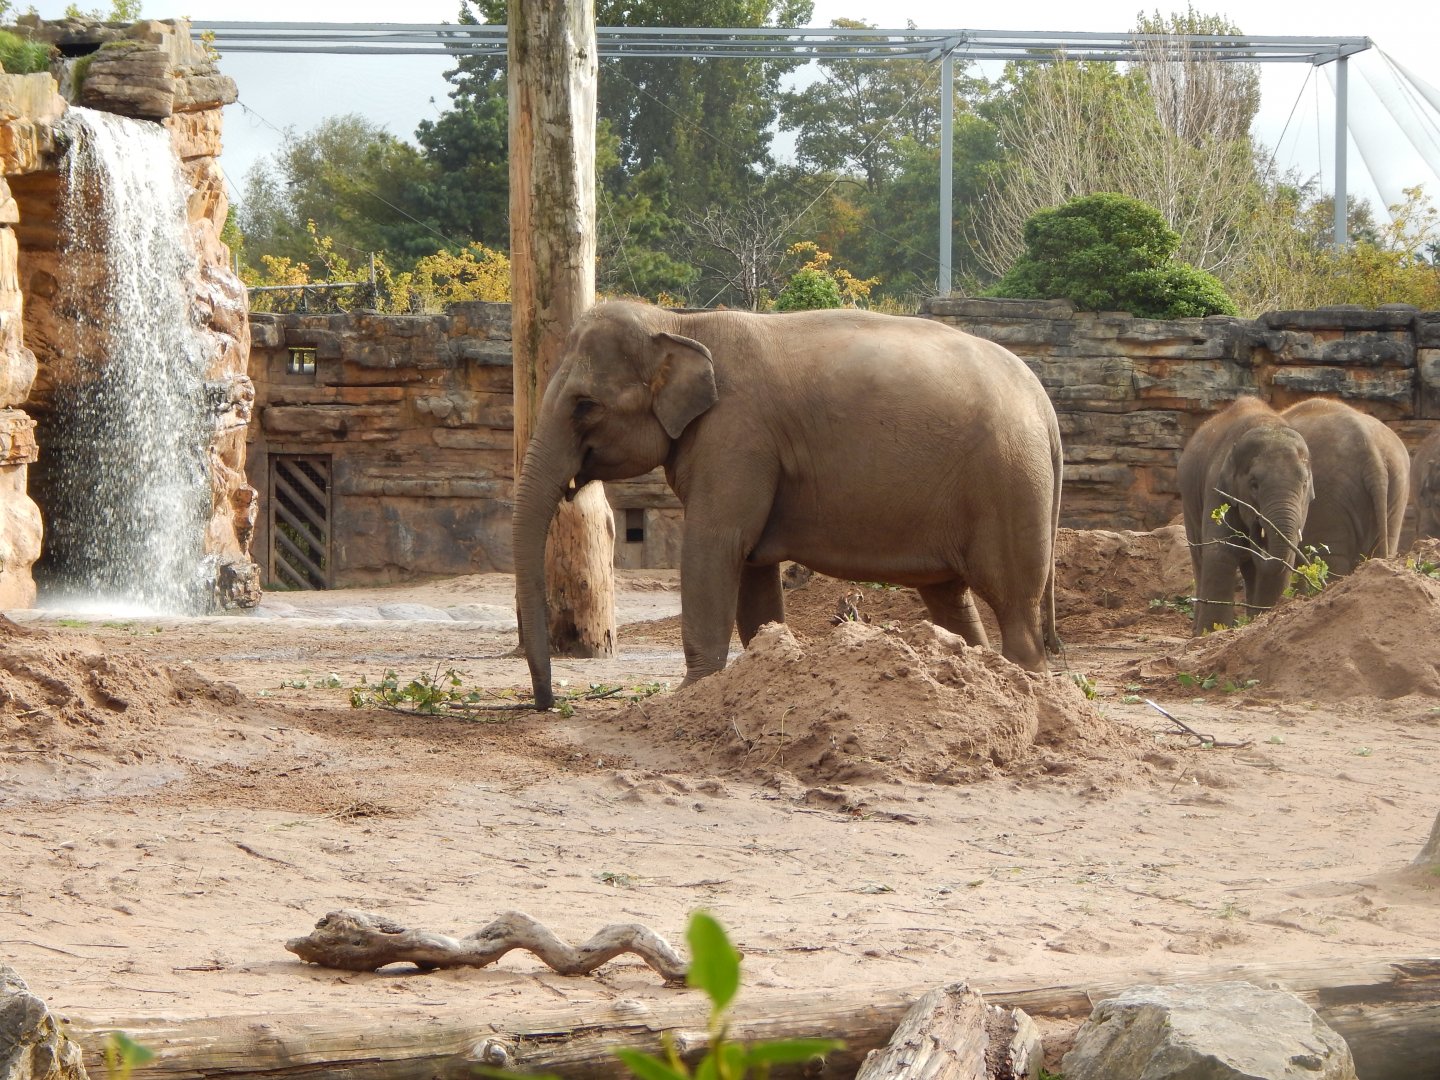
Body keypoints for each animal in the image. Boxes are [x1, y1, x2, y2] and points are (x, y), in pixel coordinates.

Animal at [512, 299, 1064, 710]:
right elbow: (752, 567)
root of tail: (1044, 405)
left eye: (584, 406)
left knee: (1013, 603)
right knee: (952, 598)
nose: (547, 703)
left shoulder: (737, 436)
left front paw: (688, 695)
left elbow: (716, 547)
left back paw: (1028, 687)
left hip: (1010, 484)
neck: (678, 323)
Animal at [1177, 397, 1313, 634]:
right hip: (1189, 501)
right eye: (1254, 484)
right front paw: (1213, 632)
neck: (1266, 422)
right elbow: (1220, 553)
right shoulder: (1216, 487)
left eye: (1304, 484)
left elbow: (1283, 559)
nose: (1256, 525)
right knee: (1200, 557)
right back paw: (1197, 632)